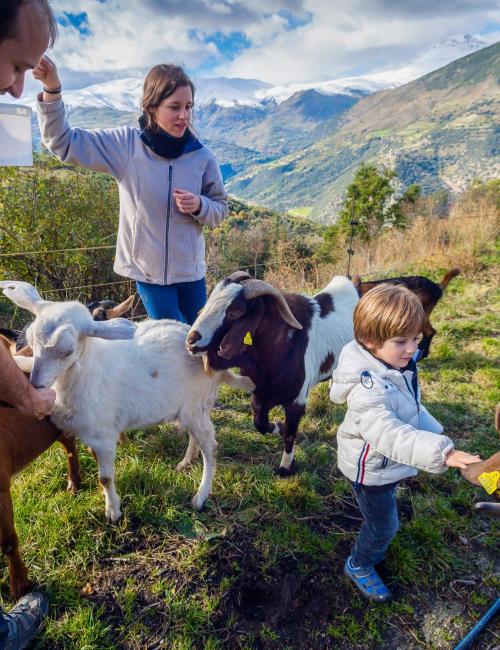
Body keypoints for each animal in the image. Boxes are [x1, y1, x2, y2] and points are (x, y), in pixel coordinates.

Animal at [0, 280, 250, 520]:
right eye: (30, 341)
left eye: (68, 351)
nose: (36, 384)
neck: (82, 373)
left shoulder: (102, 436)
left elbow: (105, 478)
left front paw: (113, 512)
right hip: (188, 408)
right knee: (195, 437)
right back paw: (186, 462)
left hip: (196, 405)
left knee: (211, 448)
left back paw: (200, 496)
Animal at [186, 270, 358, 474]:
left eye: (235, 312)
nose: (191, 341)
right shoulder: (259, 395)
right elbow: (260, 424)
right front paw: (279, 426)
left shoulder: (297, 401)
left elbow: (290, 434)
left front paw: (285, 467)